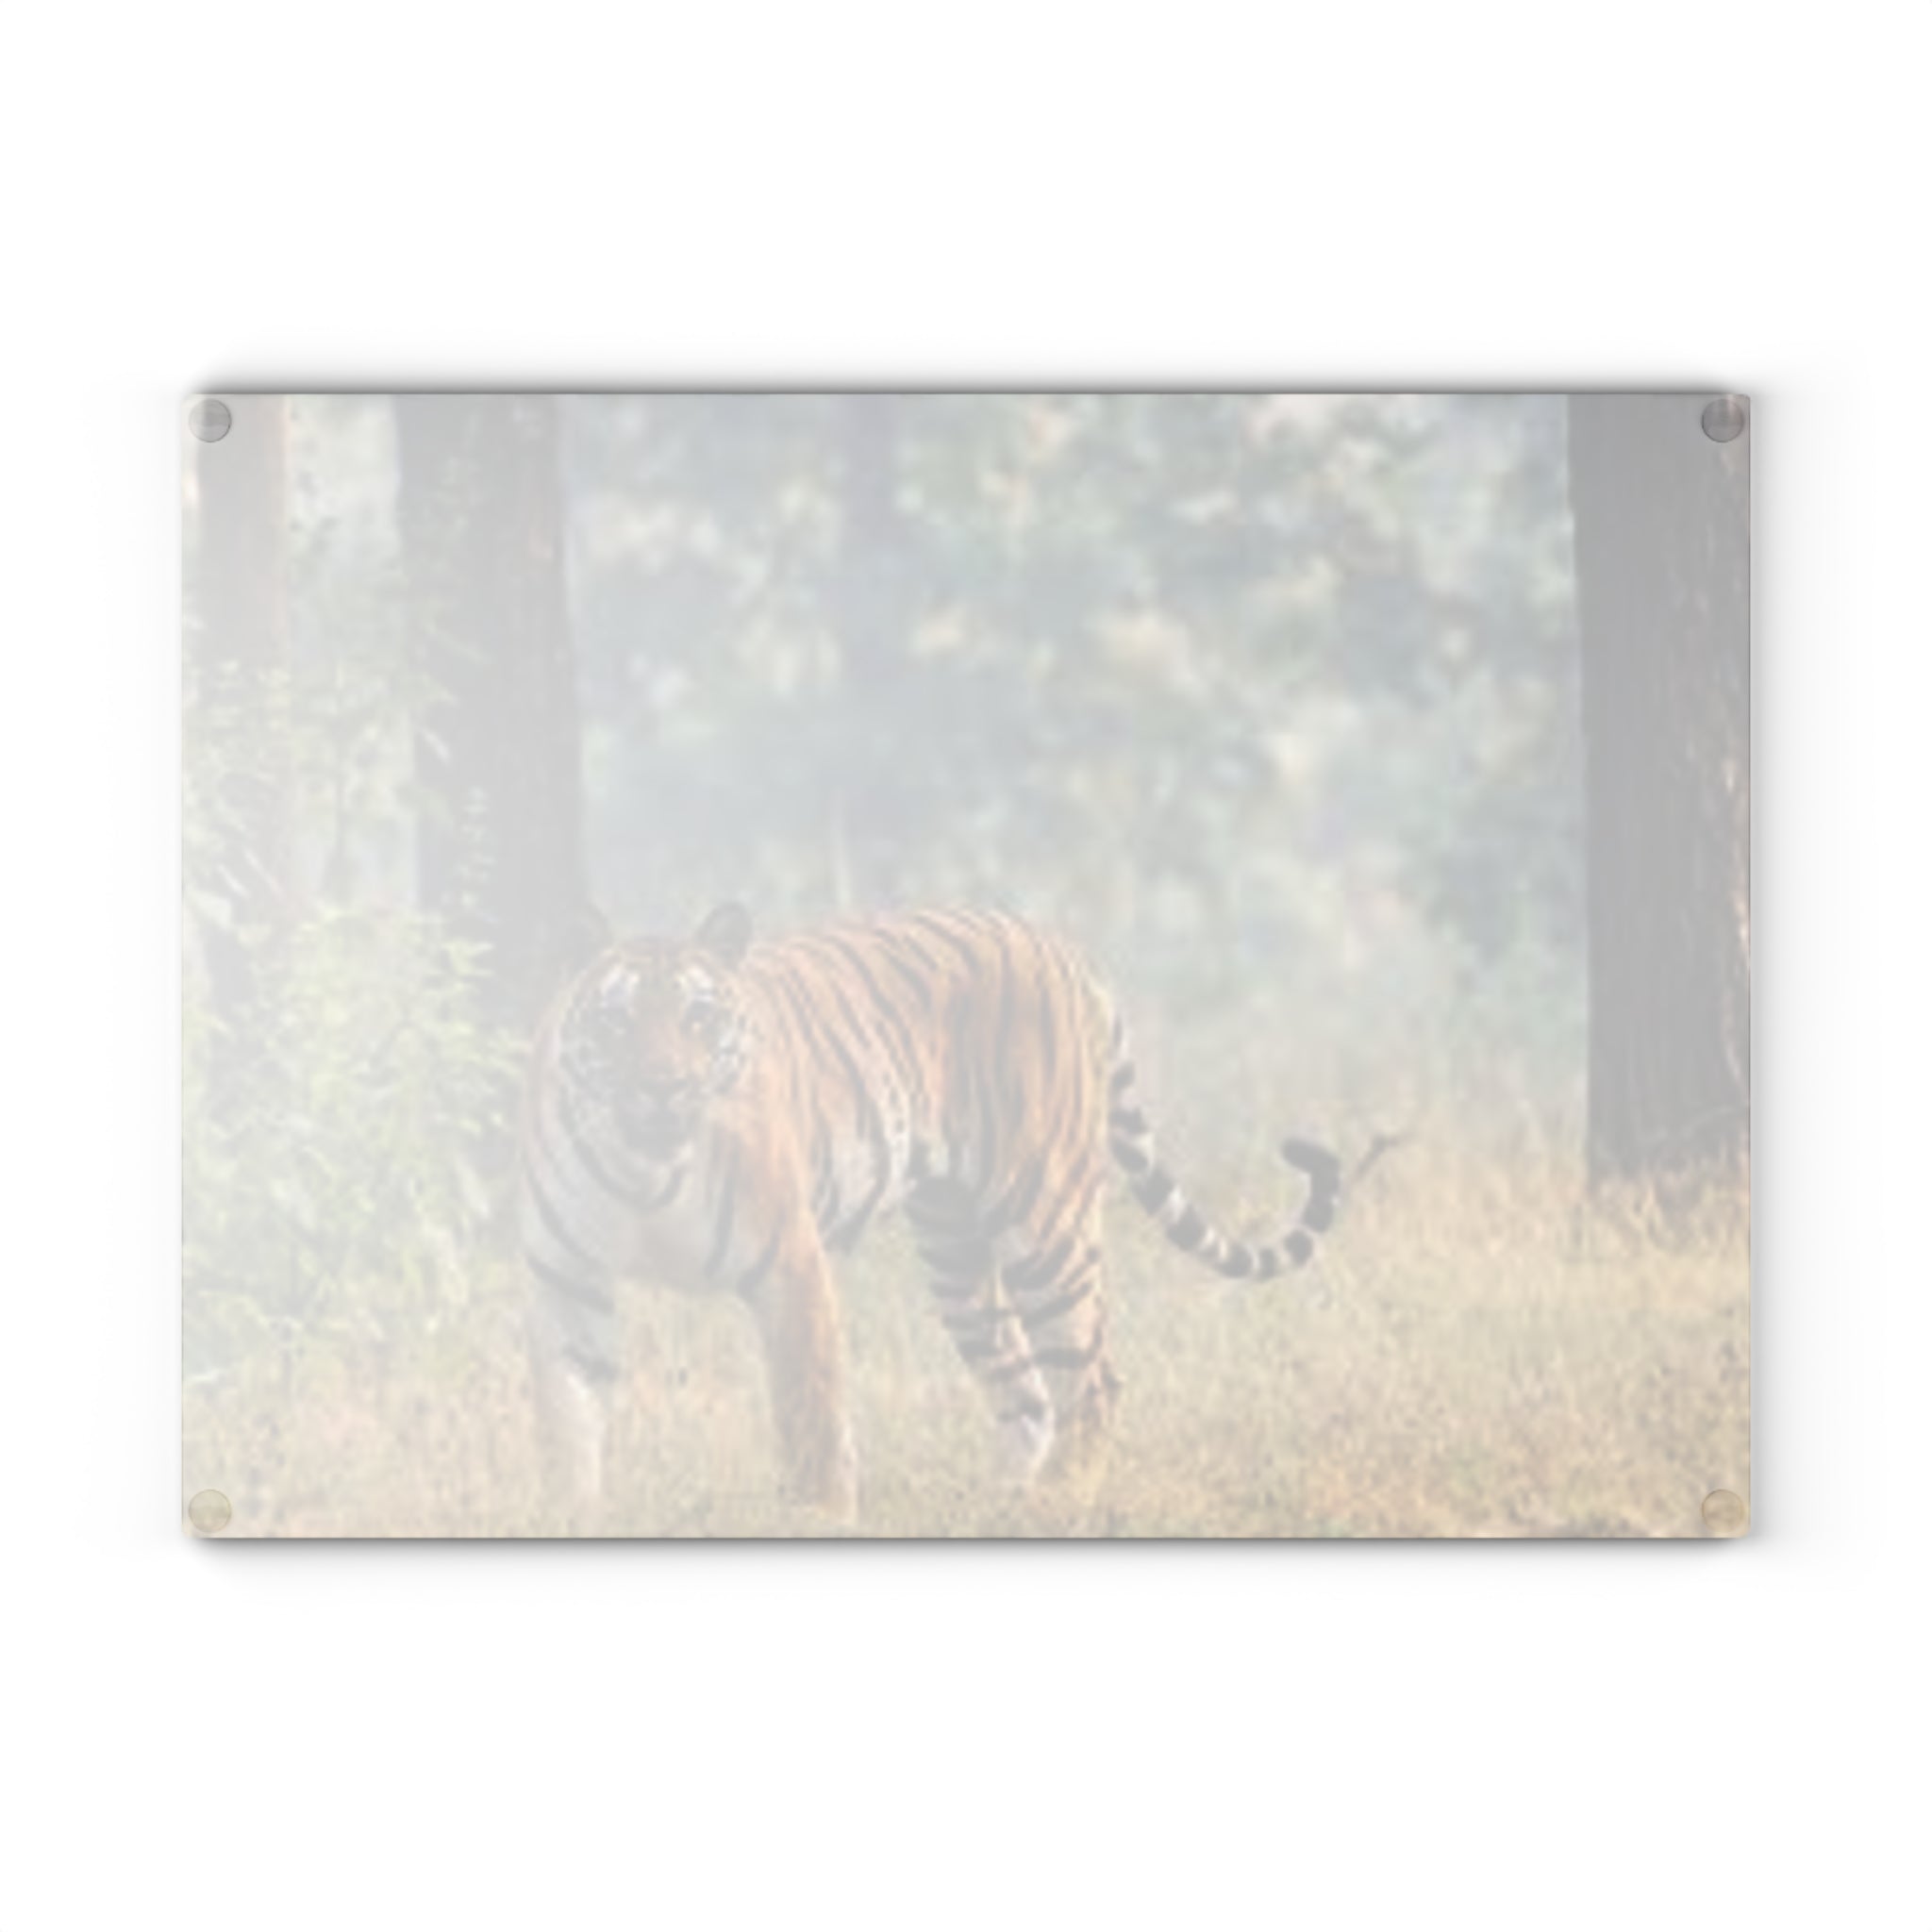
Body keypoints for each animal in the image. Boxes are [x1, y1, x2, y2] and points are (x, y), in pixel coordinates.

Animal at [519, 903, 1341, 1528]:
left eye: (698, 1018)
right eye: (619, 1024)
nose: (663, 1086)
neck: (646, 1172)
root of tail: (1058, 943)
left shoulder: (790, 1265)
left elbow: (811, 1416)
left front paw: (820, 1519)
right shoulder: (566, 1279)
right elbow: (568, 1421)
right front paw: (571, 1517)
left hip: (1045, 1218)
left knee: (1093, 1378)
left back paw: (1056, 1502)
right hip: (956, 1249)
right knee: (1025, 1390)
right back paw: (999, 1503)